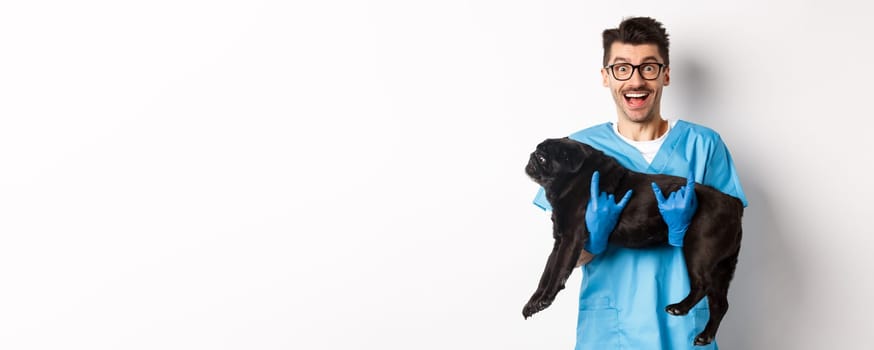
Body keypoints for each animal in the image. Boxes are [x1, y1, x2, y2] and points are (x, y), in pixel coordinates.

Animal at [524, 137, 744, 344]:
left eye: (543, 158)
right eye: (537, 153)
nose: (532, 156)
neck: (575, 179)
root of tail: (734, 203)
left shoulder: (570, 240)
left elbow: (557, 272)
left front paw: (544, 299)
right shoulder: (559, 242)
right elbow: (547, 273)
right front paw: (533, 302)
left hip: (698, 251)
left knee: (702, 284)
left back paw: (680, 308)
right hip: (722, 267)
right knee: (719, 304)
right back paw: (705, 336)